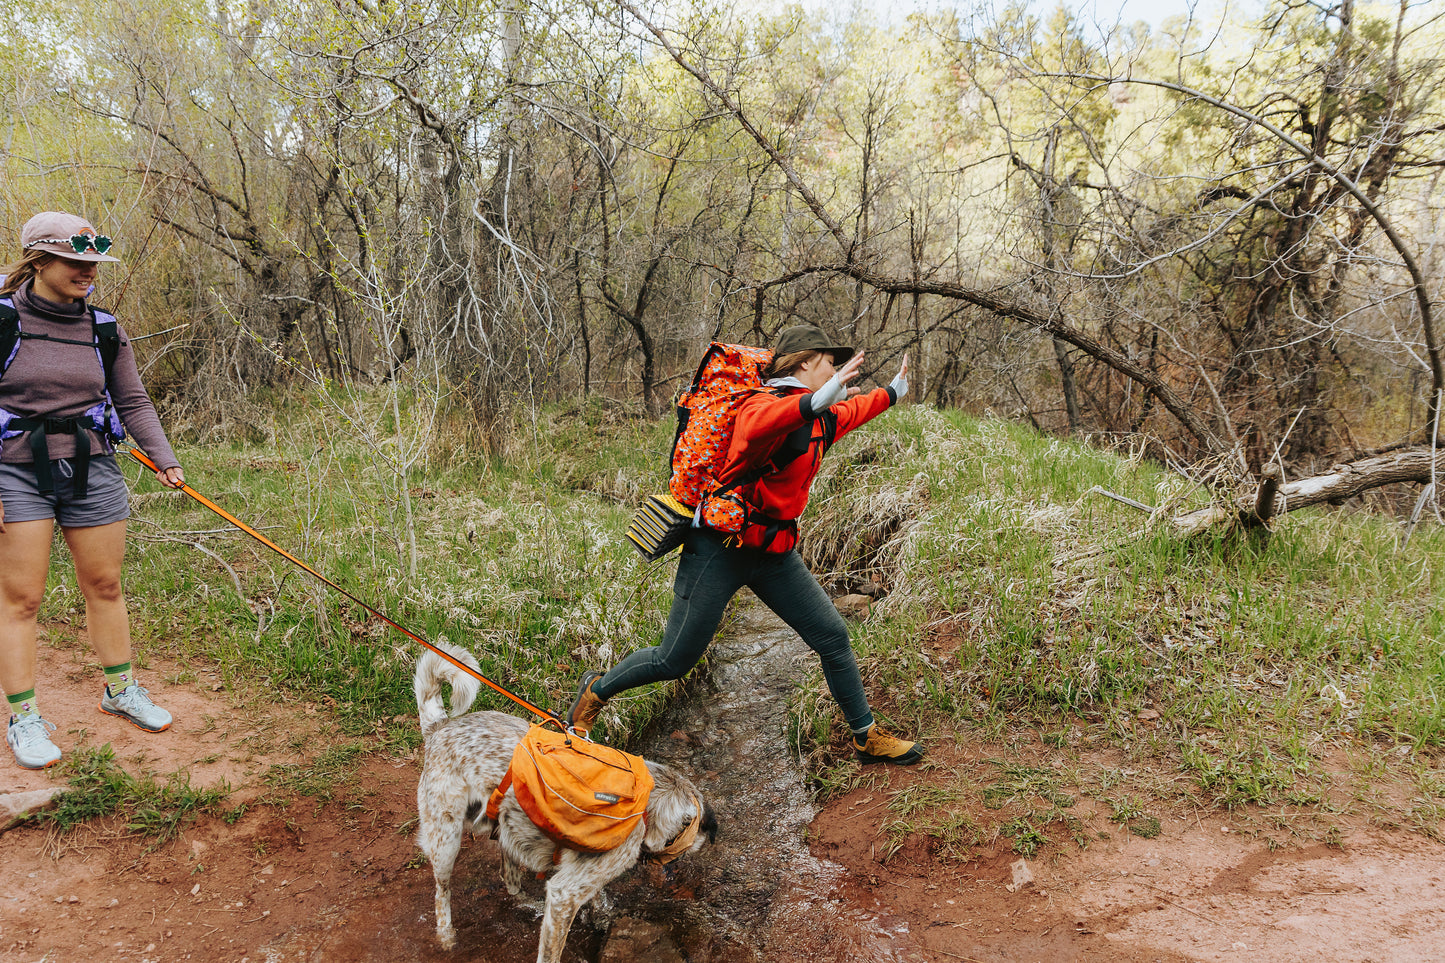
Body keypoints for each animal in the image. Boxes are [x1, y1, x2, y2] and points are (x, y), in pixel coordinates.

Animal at [413, 642, 716, 954]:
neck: (648, 804)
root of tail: (439, 727)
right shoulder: (564, 894)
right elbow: (552, 950)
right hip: (446, 839)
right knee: (442, 891)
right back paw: (446, 934)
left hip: (504, 830)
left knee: (508, 879)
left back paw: (527, 903)